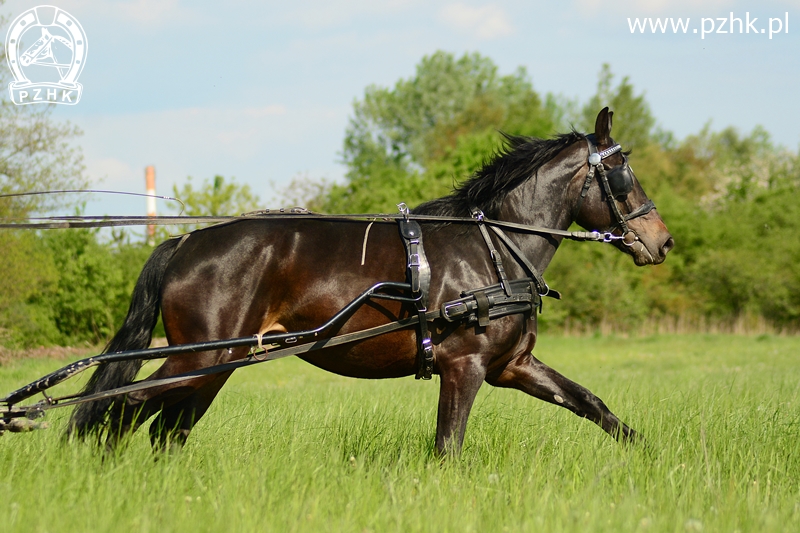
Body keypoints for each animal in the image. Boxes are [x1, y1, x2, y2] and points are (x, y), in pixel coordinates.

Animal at [65, 108, 672, 454]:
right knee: (122, 407)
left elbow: (592, 405)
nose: (662, 240)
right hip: (200, 358)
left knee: (166, 430)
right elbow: (448, 448)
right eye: (622, 172)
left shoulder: (511, 366)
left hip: (215, 366)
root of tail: (186, 242)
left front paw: (654, 455)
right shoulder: (465, 366)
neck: (495, 248)